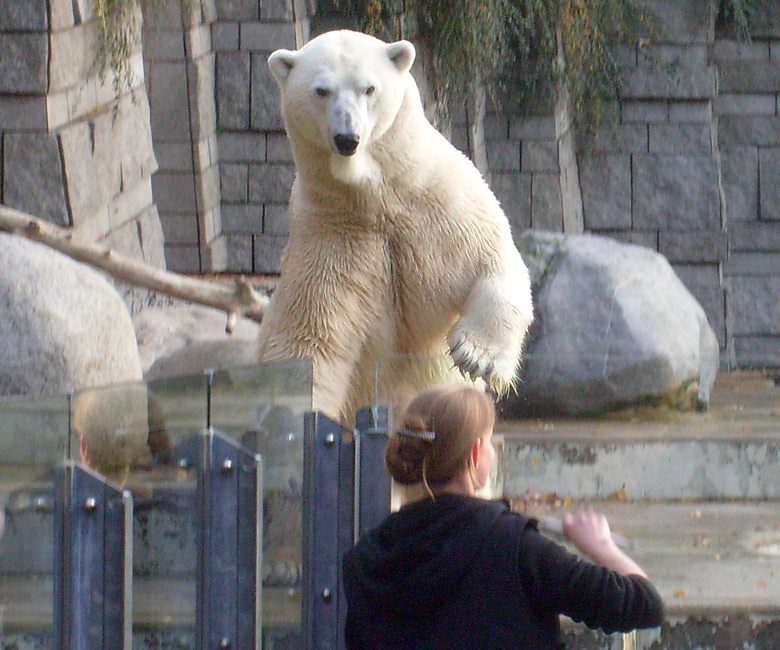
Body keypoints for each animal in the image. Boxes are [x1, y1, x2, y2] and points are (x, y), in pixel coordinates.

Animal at [266, 30, 532, 422]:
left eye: (369, 88)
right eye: (321, 90)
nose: (347, 138)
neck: (377, 200)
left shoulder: (439, 207)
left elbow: (493, 260)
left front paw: (477, 357)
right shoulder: (330, 233)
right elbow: (311, 336)